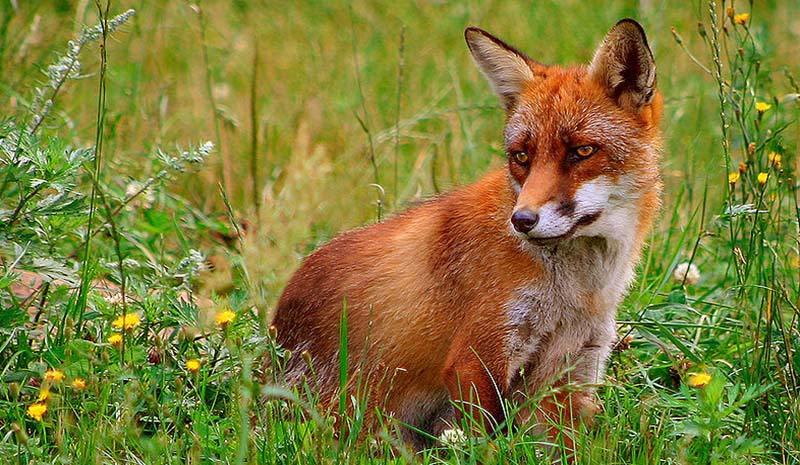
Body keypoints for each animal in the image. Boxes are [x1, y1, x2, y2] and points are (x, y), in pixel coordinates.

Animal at [272, 19, 660, 450]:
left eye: (583, 151)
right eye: (521, 156)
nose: (521, 220)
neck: (576, 291)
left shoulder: (571, 368)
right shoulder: (477, 354)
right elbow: (484, 444)